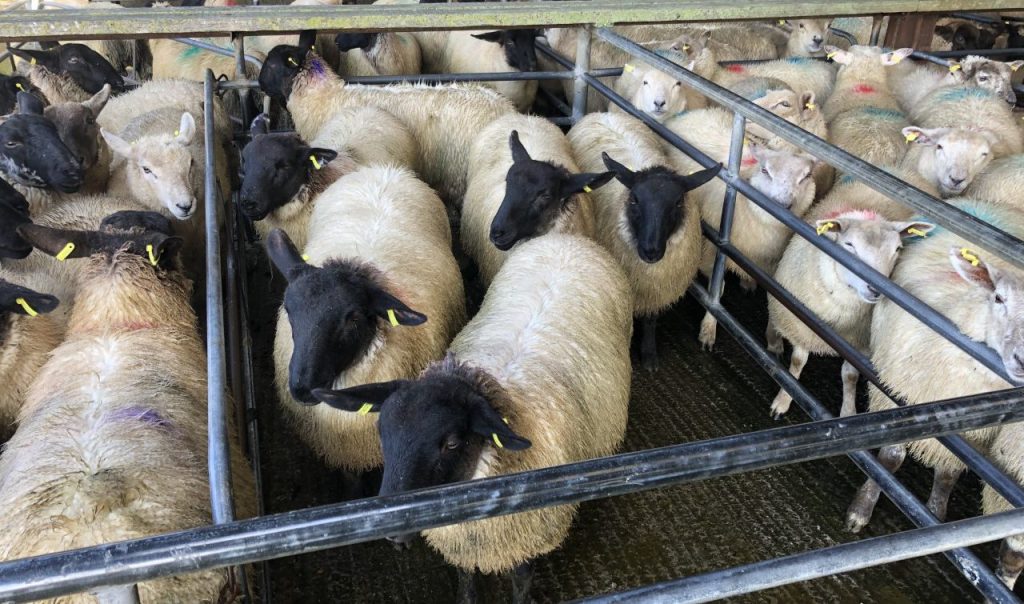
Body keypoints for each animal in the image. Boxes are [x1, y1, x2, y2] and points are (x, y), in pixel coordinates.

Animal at [311, 232, 633, 604]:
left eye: (451, 443)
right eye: (382, 432)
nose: (392, 531)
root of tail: (568, 239)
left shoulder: (525, 536)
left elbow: (521, 580)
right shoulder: (464, 544)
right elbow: (465, 578)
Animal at [568, 111, 720, 369]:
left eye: (678, 202)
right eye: (635, 200)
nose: (651, 251)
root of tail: (603, 113)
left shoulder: (655, 288)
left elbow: (651, 319)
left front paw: (649, 354)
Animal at [662, 108, 818, 349]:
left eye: (806, 177)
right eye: (765, 171)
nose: (783, 205)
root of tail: (697, 111)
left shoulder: (770, 263)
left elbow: (773, 300)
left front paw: (774, 341)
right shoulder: (714, 251)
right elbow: (718, 288)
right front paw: (708, 330)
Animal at [766, 198, 934, 419]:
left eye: (897, 249)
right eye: (849, 245)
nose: (876, 289)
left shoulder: (858, 344)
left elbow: (850, 376)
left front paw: (848, 410)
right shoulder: (800, 326)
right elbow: (797, 361)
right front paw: (784, 399)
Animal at [846, 198, 1024, 533]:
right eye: (999, 297)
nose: (1021, 358)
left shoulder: (973, 434)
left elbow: (949, 472)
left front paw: (937, 514)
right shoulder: (897, 395)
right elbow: (890, 458)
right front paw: (862, 507)